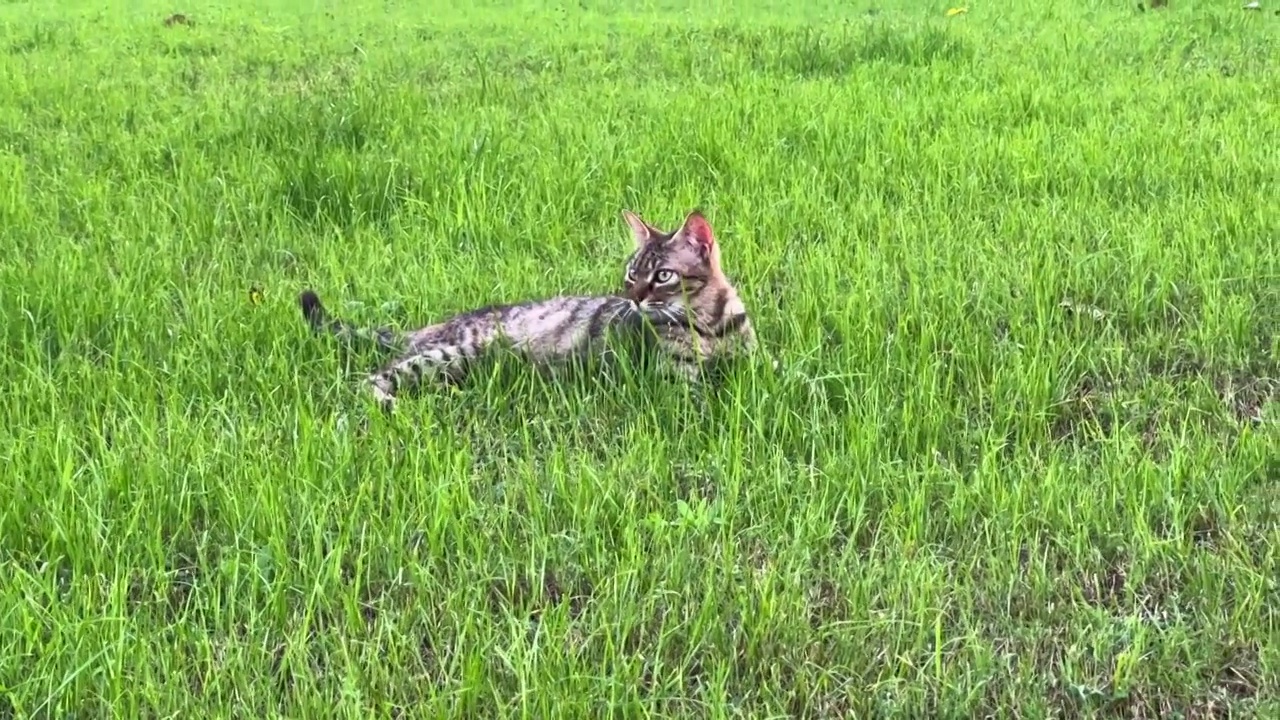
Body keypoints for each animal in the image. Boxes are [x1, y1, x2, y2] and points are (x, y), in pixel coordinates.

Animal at [296, 207, 757, 409]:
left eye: (661, 276)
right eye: (631, 273)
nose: (633, 298)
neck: (710, 325)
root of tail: (433, 326)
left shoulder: (754, 360)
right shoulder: (678, 381)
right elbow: (705, 399)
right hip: (450, 353)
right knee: (370, 378)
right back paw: (387, 403)